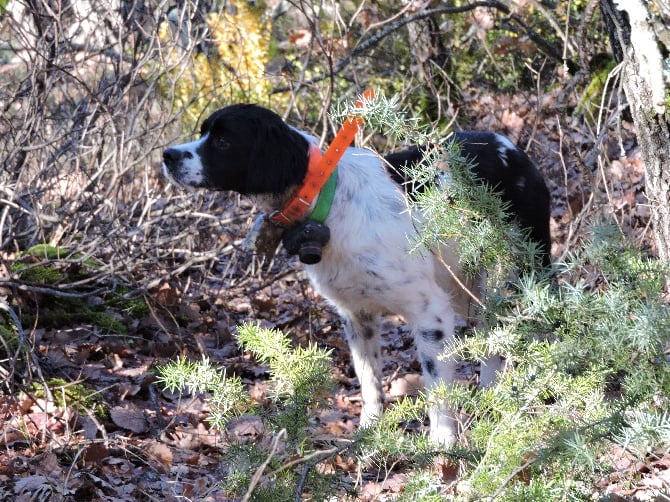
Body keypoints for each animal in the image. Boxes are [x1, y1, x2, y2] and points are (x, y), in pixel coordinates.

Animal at [163, 103, 552, 448]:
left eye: (223, 141)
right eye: (204, 132)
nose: (167, 154)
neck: (326, 200)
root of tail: (515, 149)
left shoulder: (430, 312)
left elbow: (436, 383)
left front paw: (443, 441)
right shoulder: (356, 314)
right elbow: (369, 380)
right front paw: (370, 431)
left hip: (512, 275)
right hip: (469, 287)